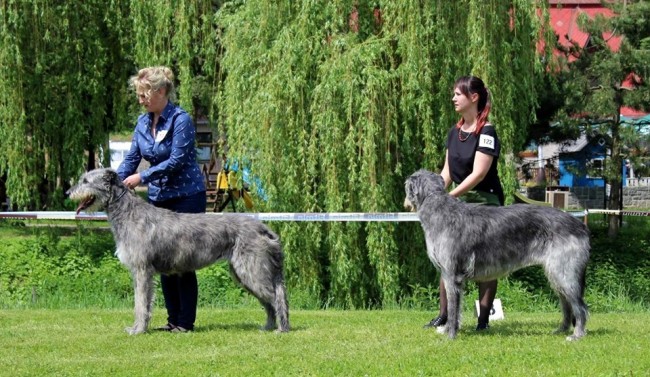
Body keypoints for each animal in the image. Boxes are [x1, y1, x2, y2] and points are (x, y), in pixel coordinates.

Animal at [67, 169, 288, 334]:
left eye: (85, 180)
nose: (68, 192)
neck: (128, 213)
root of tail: (263, 227)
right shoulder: (145, 273)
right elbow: (145, 303)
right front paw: (140, 327)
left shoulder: (141, 269)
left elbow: (140, 302)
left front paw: (138, 330)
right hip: (244, 273)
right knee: (269, 302)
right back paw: (269, 326)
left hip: (251, 270)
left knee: (278, 297)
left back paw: (282, 328)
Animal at [400, 169, 588, 340]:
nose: (405, 204)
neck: (438, 209)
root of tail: (580, 225)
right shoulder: (450, 275)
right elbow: (457, 308)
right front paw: (447, 330)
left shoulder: (452, 274)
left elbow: (453, 308)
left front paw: (450, 336)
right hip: (556, 273)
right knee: (566, 303)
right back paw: (562, 329)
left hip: (564, 271)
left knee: (581, 307)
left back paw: (577, 334)